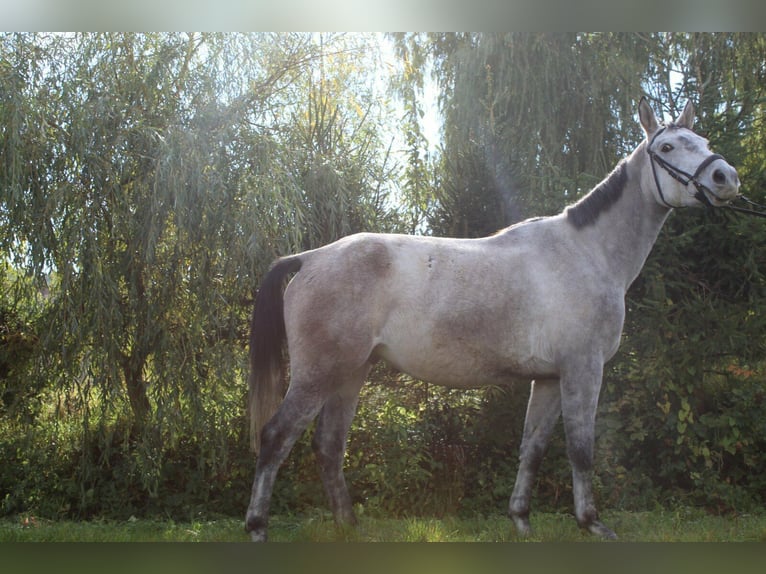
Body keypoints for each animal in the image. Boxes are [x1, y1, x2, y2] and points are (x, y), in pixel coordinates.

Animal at [243, 97, 740, 544]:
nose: (726, 177)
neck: (588, 253)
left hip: (350, 373)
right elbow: (581, 449)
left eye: (704, 141)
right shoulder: (583, 369)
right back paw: (257, 528)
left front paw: (521, 521)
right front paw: (592, 524)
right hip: (318, 374)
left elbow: (533, 448)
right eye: (668, 147)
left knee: (329, 445)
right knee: (276, 437)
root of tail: (309, 258)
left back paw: (348, 526)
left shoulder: (550, 378)